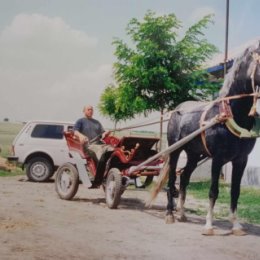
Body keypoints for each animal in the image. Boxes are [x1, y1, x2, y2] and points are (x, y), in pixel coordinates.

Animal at [149, 40, 260, 236]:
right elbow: (213, 191)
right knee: (172, 180)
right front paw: (208, 225)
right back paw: (170, 214)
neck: (229, 114)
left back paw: (182, 213)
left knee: (184, 179)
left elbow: (235, 192)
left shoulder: (241, 160)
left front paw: (236, 226)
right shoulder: (218, 158)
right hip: (175, 150)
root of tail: (178, 109)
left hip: (194, 155)